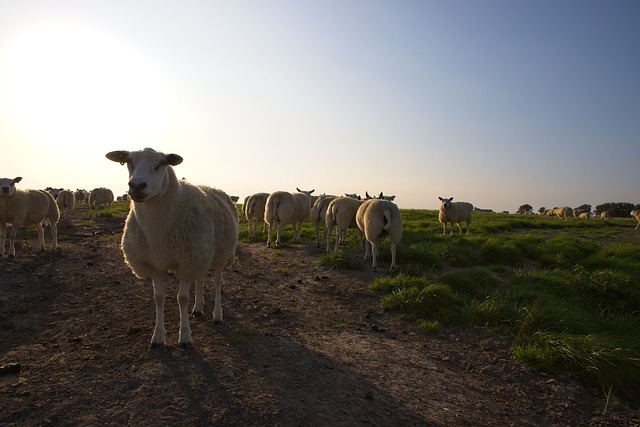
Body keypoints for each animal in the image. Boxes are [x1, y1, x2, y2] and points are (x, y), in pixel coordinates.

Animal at [106, 147, 239, 348]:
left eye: (162, 163)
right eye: (128, 161)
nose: (136, 186)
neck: (157, 233)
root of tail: (212, 188)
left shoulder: (186, 261)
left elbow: (182, 298)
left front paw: (184, 336)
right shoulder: (155, 263)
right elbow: (159, 298)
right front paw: (158, 336)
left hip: (219, 254)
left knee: (217, 282)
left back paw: (217, 315)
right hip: (201, 253)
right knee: (200, 278)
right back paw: (198, 307)